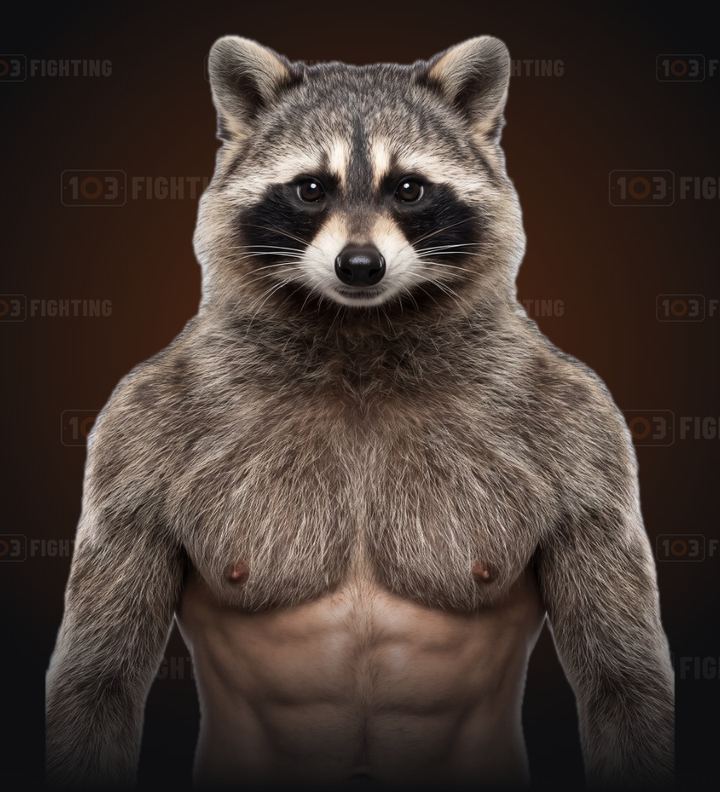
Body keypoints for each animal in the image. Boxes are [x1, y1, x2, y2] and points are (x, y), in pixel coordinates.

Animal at [46, 36, 674, 790]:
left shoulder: (581, 424)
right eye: (311, 188)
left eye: (409, 188)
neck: (360, 345)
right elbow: (101, 672)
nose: (360, 265)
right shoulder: (139, 425)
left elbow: (620, 673)